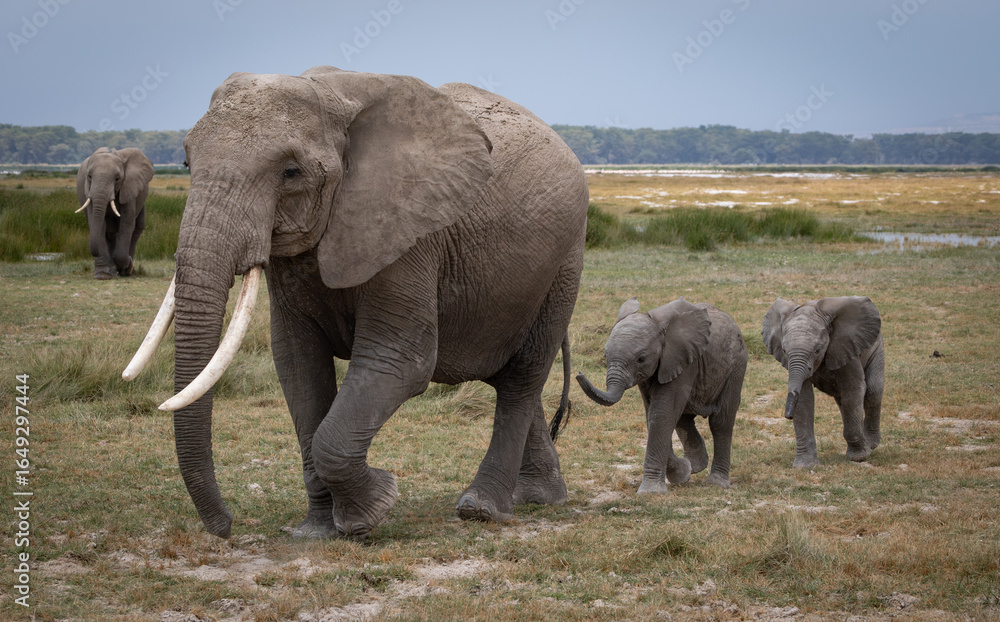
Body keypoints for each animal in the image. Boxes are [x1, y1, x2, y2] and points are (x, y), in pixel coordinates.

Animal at [75, 147, 154, 279]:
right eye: (89, 176)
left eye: (117, 178)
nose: (131, 262)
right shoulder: (89, 192)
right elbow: (99, 225)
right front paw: (103, 276)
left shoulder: (129, 188)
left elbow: (126, 224)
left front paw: (126, 267)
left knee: (137, 229)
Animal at [122, 67, 589, 541]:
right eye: (185, 163)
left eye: (291, 172)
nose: (226, 526)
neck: (334, 99)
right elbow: (297, 364)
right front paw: (316, 531)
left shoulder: (407, 232)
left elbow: (399, 361)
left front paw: (371, 511)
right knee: (510, 376)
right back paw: (538, 498)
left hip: (564, 260)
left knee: (522, 376)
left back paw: (483, 509)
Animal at [576, 297, 747, 493]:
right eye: (605, 355)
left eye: (641, 359)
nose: (579, 373)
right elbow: (652, 415)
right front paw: (682, 473)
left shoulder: (684, 361)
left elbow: (661, 414)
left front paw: (650, 492)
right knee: (684, 418)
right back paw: (695, 466)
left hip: (736, 366)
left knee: (721, 421)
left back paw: (716, 483)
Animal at [761, 296, 884, 468]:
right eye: (784, 350)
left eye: (817, 350)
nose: (787, 416)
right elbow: (804, 399)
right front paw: (804, 466)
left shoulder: (846, 348)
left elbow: (853, 390)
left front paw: (858, 457)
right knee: (843, 401)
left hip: (876, 346)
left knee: (872, 392)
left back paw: (871, 444)